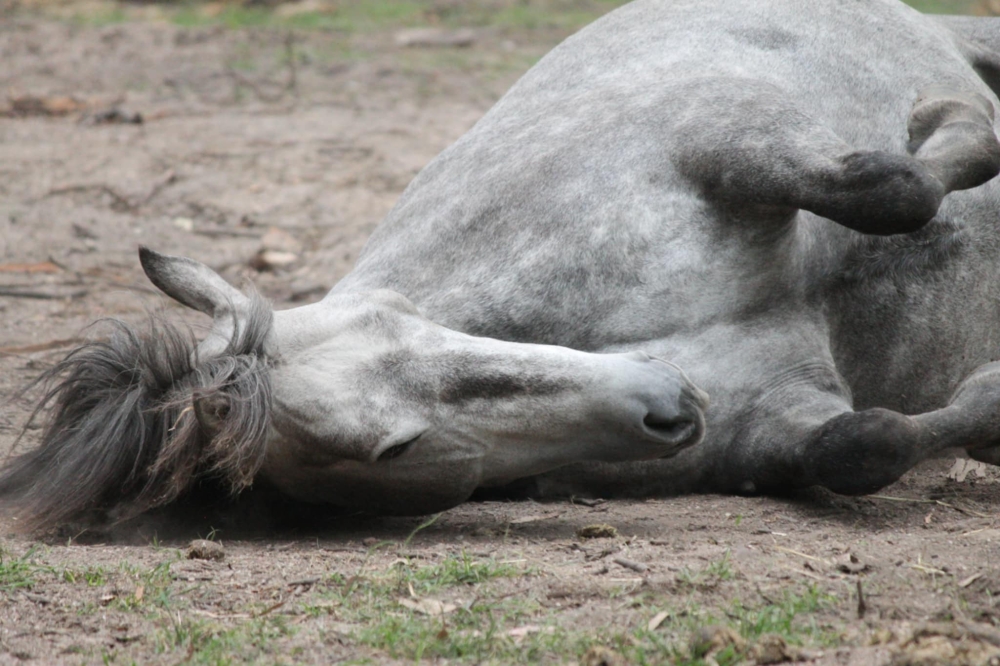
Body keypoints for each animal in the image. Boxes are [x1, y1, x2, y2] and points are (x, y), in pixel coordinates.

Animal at [4, 0, 1000, 530]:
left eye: (394, 325)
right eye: (396, 450)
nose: (667, 403)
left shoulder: (724, 139)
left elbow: (899, 188)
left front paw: (951, 125)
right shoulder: (780, 419)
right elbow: (865, 445)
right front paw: (989, 406)